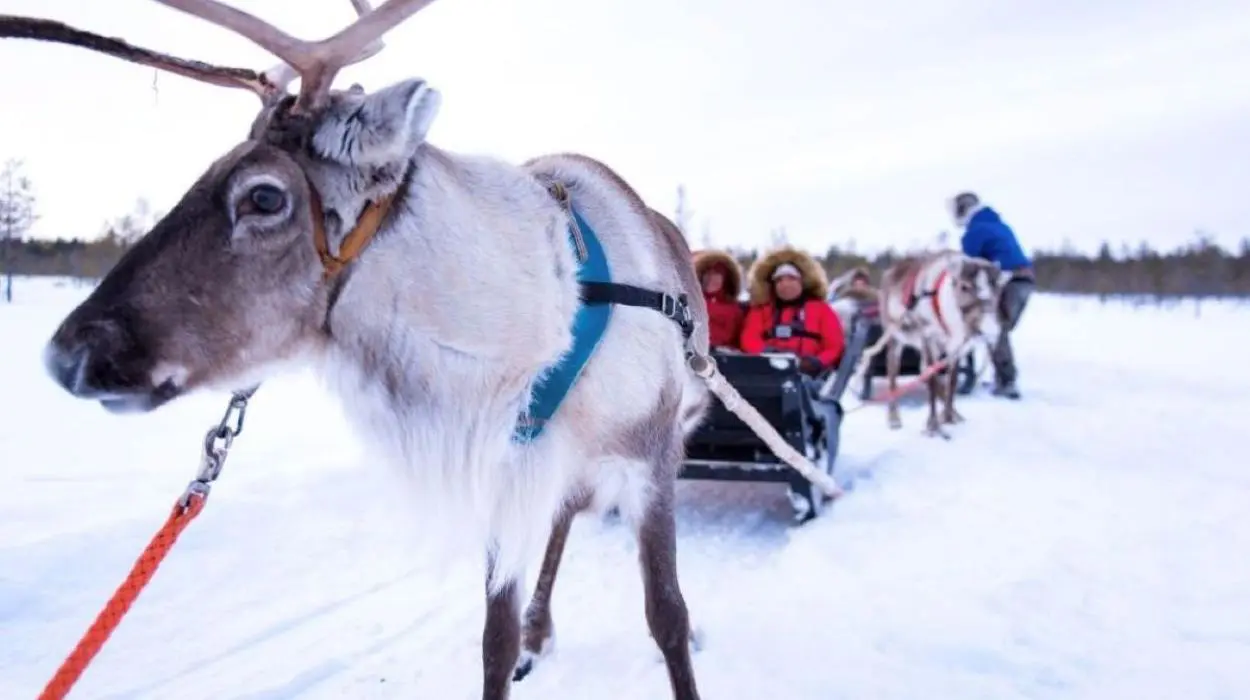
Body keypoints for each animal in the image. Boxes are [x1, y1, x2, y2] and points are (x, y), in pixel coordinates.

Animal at [3, 1, 739, 698]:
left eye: (264, 196)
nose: (67, 354)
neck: (537, 330)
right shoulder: (509, 468)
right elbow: (493, 641)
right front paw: (519, 638)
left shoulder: (650, 454)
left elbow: (666, 614)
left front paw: (683, 637)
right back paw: (540, 631)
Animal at [855, 250, 1001, 439]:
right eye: (964, 286)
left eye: (997, 287)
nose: (989, 329)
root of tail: (890, 271)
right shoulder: (929, 338)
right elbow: (932, 380)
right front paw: (933, 425)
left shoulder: (954, 348)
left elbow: (952, 382)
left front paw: (949, 417)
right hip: (895, 337)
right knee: (893, 374)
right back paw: (894, 418)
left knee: (923, 369)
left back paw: (955, 413)